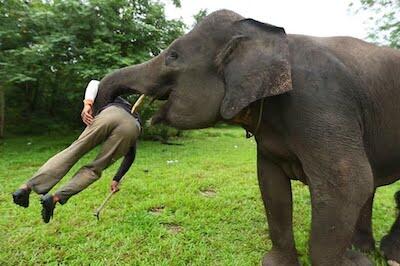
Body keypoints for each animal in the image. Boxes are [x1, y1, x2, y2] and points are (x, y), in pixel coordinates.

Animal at [91, 9, 400, 264]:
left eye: (173, 57)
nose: (117, 109)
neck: (268, 34)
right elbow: (271, 183)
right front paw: (278, 263)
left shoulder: (320, 98)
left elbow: (349, 182)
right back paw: (364, 250)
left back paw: (382, 255)